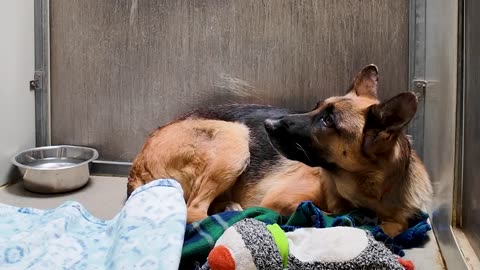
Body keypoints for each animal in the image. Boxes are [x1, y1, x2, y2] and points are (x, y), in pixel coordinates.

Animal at [126, 65, 432, 236]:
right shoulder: (281, 200)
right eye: (317, 107)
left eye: (327, 121)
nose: (268, 124)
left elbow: (392, 227)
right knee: (195, 212)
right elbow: (328, 216)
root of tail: (137, 166)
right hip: (235, 138)